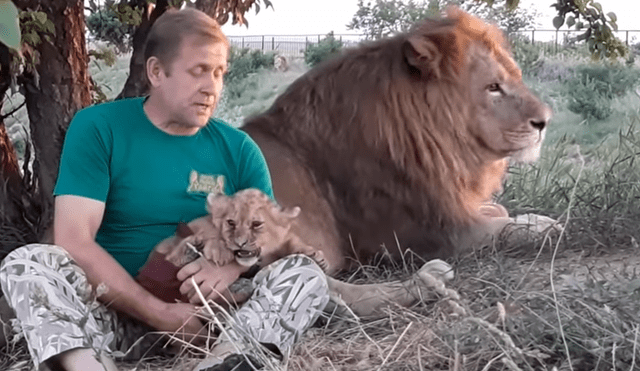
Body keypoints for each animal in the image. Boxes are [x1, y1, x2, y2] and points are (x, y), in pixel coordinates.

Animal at [240, 5, 552, 274]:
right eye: (493, 87)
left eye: (516, 77)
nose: (545, 121)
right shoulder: (428, 237)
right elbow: (505, 228)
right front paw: (544, 226)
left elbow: (499, 210)